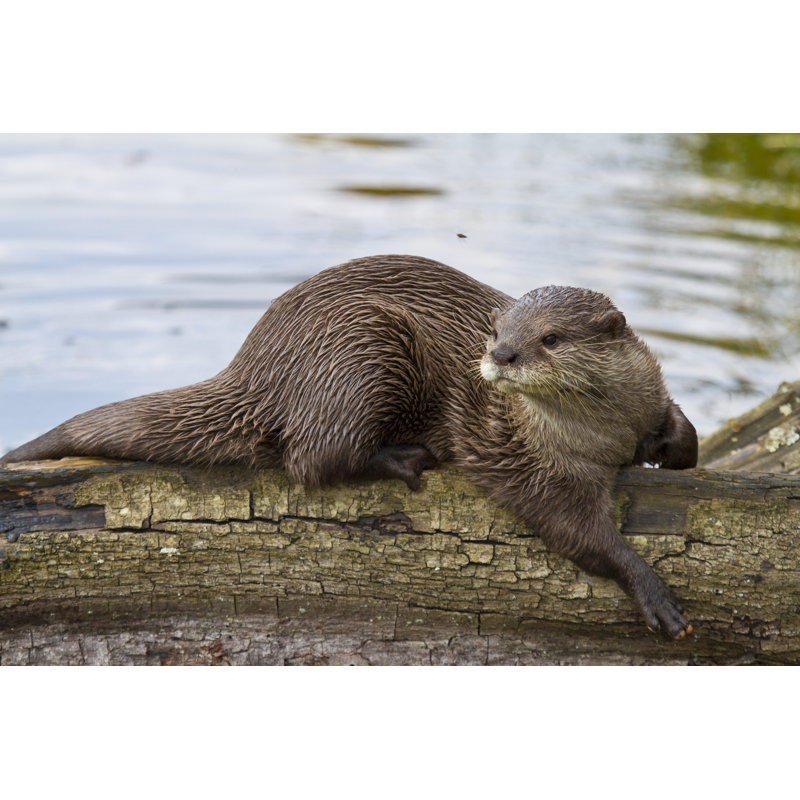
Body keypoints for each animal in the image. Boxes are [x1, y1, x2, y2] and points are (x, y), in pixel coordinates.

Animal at [3, 255, 697, 638]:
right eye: (498, 330)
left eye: (550, 338)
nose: (501, 354)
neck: (600, 434)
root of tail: (256, 366)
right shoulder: (533, 467)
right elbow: (580, 532)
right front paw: (655, 593)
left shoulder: (644, 398)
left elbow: (675, 424)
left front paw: (675, 447)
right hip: (362, 348)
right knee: (310, 458)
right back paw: (404, 457)